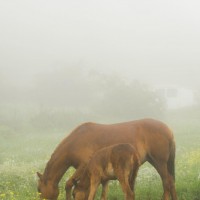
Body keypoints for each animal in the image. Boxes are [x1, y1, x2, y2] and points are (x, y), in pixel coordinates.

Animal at [36, 118, 177, 199]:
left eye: (39, 190)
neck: (74, 142)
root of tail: (169, 130)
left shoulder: (84, 166)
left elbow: (69, 184)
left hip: (159, 162)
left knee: (166, 183)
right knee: (171, 182)